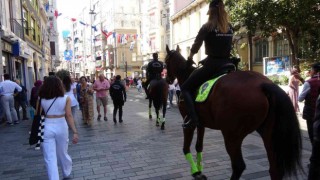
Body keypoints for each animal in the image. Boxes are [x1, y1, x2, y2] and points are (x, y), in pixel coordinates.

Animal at [165, 45, 302, 180]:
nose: (167, 80)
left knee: (238, 166)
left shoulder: (188, 123)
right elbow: (199, 146)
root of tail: (263, 85)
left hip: (232, 136)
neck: (186, 75)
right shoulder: (201, 124)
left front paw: (195, 172)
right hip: (268, 134)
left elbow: (186, 148)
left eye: (166, 62)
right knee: (274, 170)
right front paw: (199, 171)